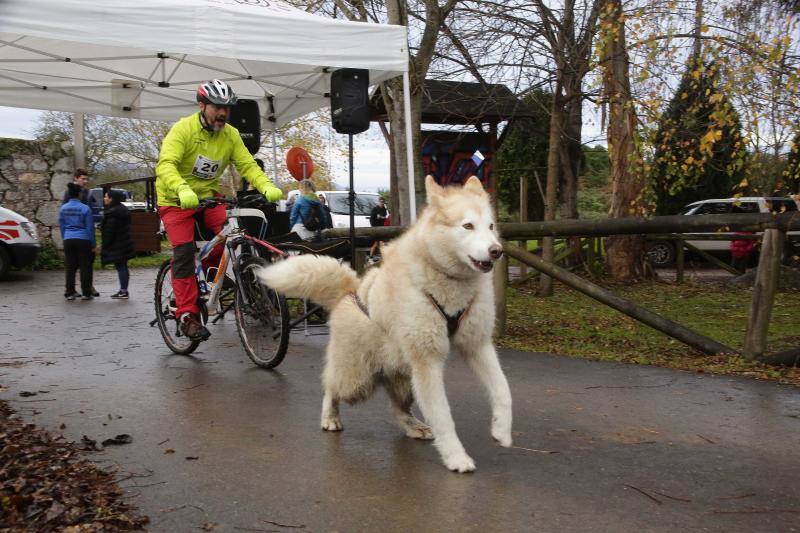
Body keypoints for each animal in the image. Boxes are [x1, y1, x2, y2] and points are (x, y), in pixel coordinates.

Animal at [260, 175, 516, 470]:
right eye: (468, 226)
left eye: (491, 226)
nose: (496, 251)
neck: (448, 281)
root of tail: (349, 292)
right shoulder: (427, 362)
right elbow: (443, 416)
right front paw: (455, 457)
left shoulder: (477, 346)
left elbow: (503, 390)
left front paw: (501, 430)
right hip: (357, 381)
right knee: (331, 387)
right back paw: (330, 417)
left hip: (405, 378)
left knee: (397, 408)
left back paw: (414, 426)